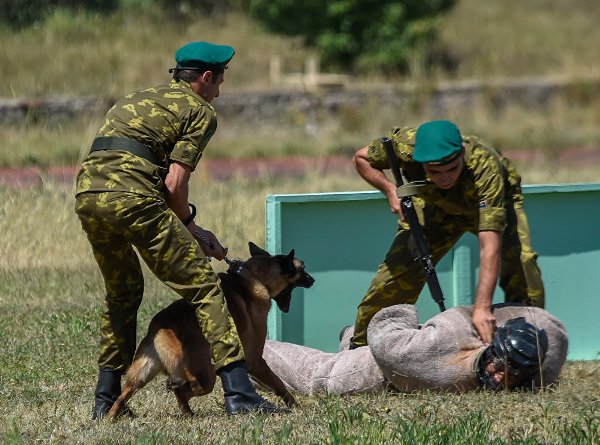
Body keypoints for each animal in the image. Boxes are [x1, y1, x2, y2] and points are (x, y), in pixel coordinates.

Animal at [106, 241, 314, 414]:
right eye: (303, 268)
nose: (313, 280)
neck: (254, 277)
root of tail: (162, 326)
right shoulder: (255, 360)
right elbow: (278, 383)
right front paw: (294, 406)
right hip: (206, 376)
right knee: (181, 389)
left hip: (142, 373)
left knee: (122, 396)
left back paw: (111, 417)